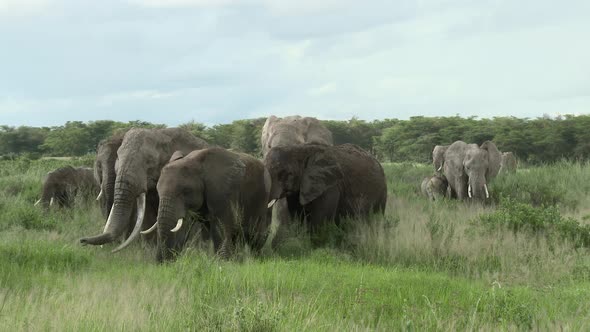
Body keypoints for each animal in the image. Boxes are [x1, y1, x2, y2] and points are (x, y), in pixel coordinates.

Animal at [78, 127, 208, 252]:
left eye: (149, 162)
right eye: (99, 166)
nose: (82, 241)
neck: (161, 134)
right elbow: (146, 215)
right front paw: (148, 250)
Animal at [142, 148, 274, 262]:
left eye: (186, 191)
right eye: (158, 191)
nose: (161, 263)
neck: (196, 163)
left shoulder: (223, 192)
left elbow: (220, 228)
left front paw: (222, 263)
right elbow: (181, 227)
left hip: (262, 196)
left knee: (255, 236)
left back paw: (255, 259)